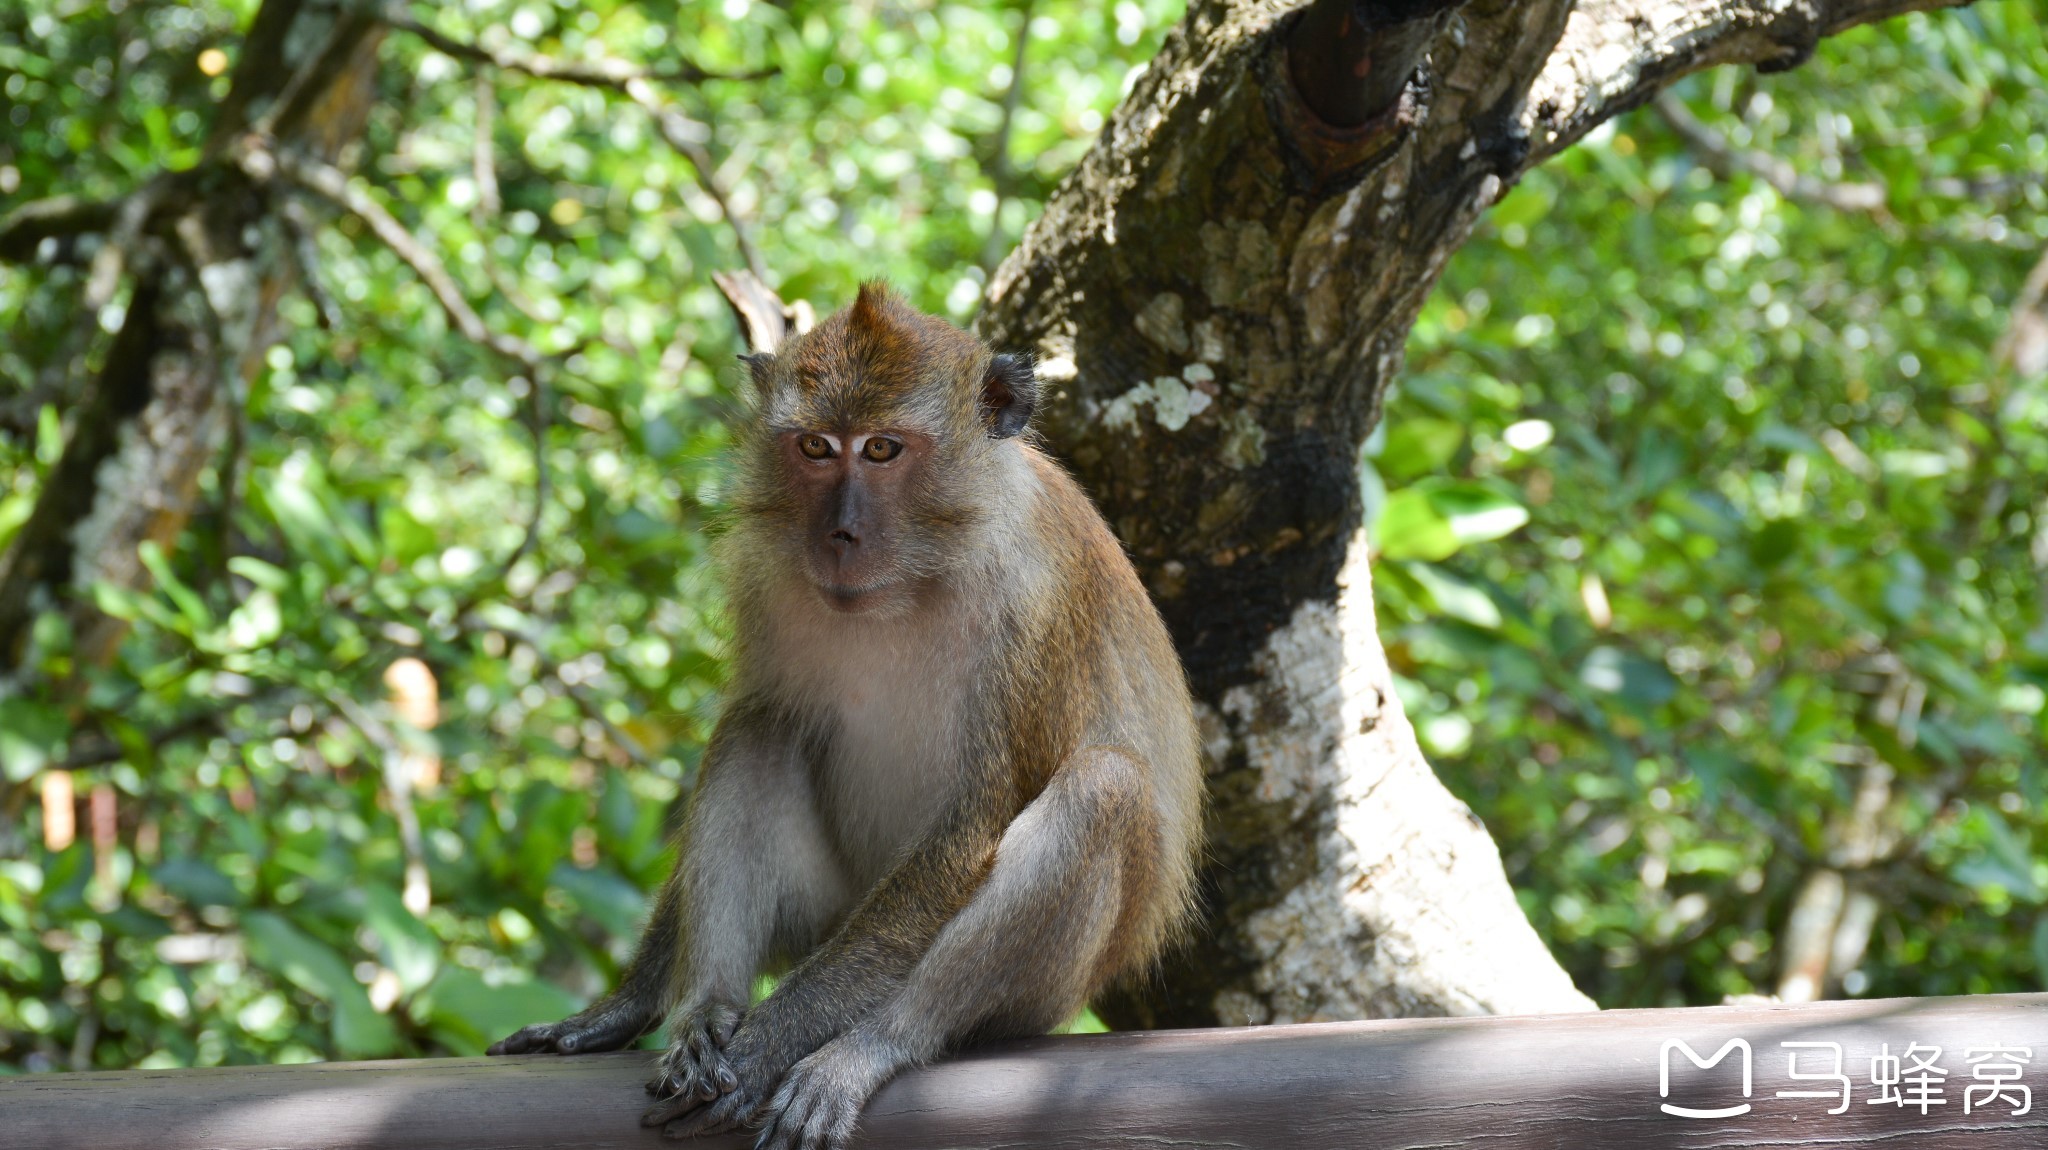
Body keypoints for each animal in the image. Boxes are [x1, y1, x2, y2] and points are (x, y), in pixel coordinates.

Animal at [489, 282, 1204, 1145]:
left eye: (884, 450)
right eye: (817, 448)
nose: (841, 532)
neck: (919, 575)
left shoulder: (1034, 601)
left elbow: (968, 831)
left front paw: (767, 1045)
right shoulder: (763, 577)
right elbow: (764, 712)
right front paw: (625, 1008)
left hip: (1042, 995)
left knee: (1103, 790)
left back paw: (868, 1046)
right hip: (823, 912)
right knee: (760, 727)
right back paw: (707, 1015)